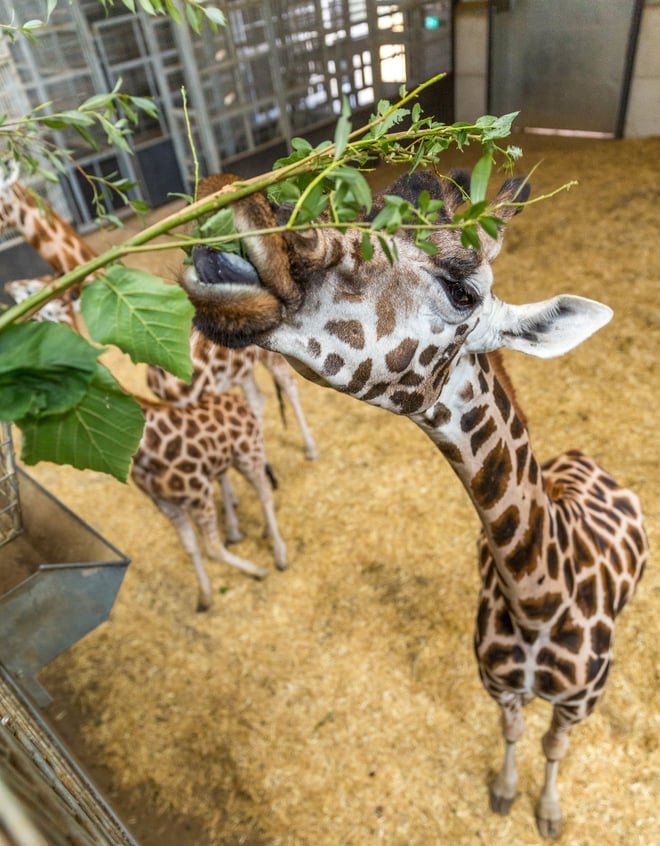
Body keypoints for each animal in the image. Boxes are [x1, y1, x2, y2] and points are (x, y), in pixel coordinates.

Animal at [179, 168, 648, 837]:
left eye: (461, 292)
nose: (230, 203)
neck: (536, 604)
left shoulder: (579, 703)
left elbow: (553, 746)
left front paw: (548, 814)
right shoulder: (496, 684)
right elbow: (512, 732)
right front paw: (505, 793)